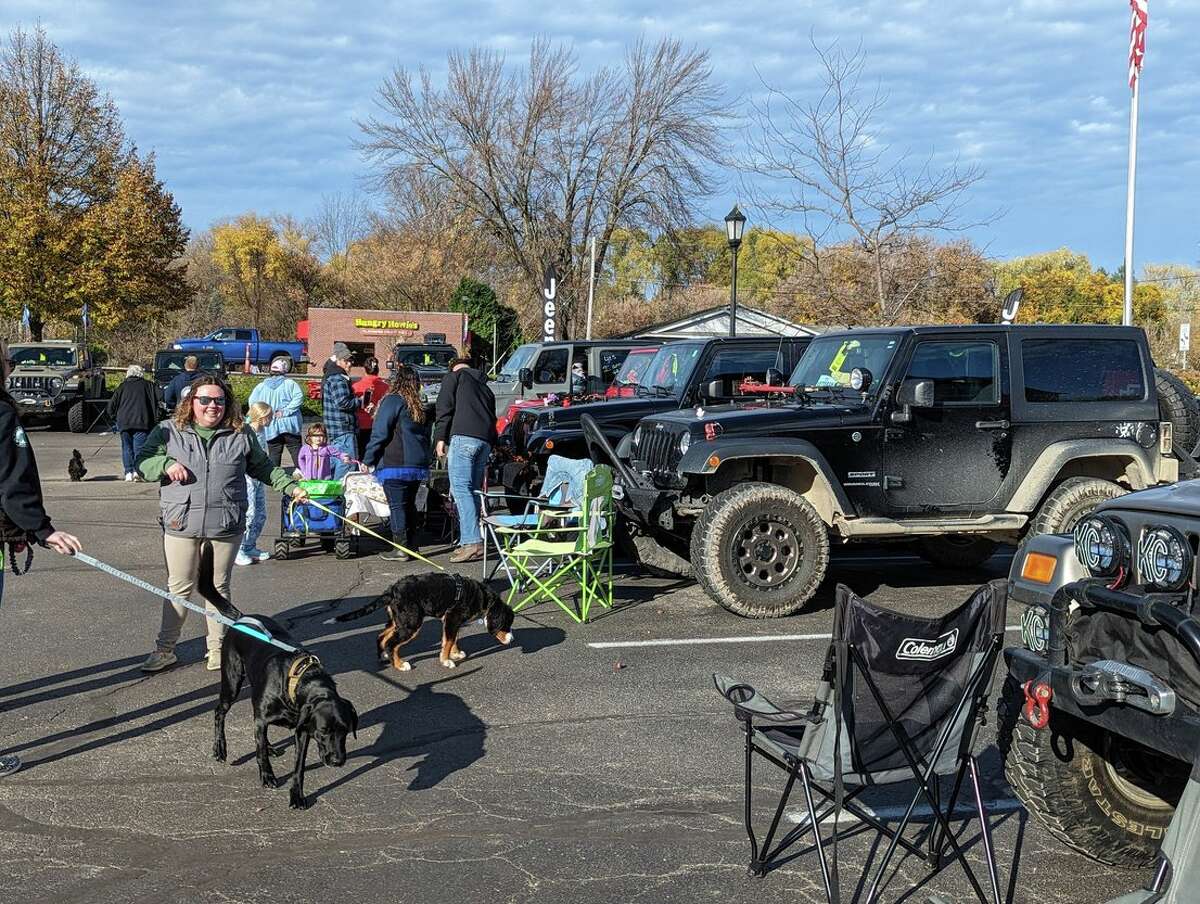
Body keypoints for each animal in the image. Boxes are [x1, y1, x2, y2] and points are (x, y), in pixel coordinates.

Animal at [194, 540, 355, 806]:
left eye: (345, 730)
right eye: (324, 731)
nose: (337, 761)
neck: (297, 682)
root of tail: (242, 618)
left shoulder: (303, 730)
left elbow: (299, 766)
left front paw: (297, 795)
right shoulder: (278, 720)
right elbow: (260, 754)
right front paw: (267, 776)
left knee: (259, 732)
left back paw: (267, 745)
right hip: (232, 681)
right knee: (220, 713)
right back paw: (220, 748)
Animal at [336, 571, 513, 672]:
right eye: (506, 624)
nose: (511, 639)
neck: (479, 596)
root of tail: (393, 589)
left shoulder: (452, 621)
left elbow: (451, 639)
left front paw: (454, 654)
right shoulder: (452, 618)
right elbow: (449, 641)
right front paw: (446, 661)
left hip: (398, 621)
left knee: (381, 637)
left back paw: (385, 656)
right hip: (411, 623)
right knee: (391, 643)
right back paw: (400, 665)